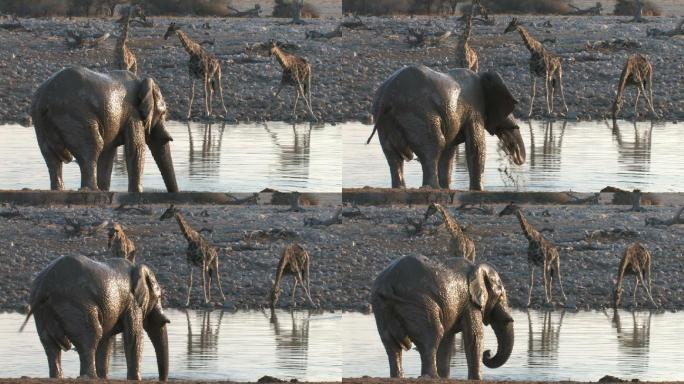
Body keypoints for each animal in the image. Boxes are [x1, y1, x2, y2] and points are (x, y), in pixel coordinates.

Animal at [22, 255, 171, 380]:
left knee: (50, 345)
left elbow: (106, 341)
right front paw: (135, 380)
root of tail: (45, 285)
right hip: (77, 303)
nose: (161, 380)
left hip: (40, 309)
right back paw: (90, 378)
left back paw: (58, 377)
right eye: (158, 296)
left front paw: (105, 377)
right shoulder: (132, 302)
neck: (137, 267)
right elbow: (134, 336)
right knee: (91, 336)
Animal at [30, 66, 179, 194]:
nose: (174, 193)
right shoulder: (133, 114)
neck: (142, 81)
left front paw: (106, 189)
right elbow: (136, 148)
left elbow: (108, 154)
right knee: (93, 147)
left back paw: (59, 190)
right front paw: (136, 192)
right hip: (75, 115)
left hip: (39, 121)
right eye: (163, 113)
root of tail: (45, 99)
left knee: (50, 157)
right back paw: (92, 190)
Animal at [368, 66, 524, 192]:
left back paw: (400, 188)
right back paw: (432, 188)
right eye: (510, 110)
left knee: (392, 154)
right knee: (434, 146)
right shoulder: (475, 108)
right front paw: (478, 190)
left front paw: (447, 188)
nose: (517, 159)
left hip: (383, 118)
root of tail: (387, 96)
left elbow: (449, 151)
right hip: (419, 113)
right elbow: (476, 145)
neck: (482, 77)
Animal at [368, 256, 512, 380]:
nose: (488, 353)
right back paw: (431, 377)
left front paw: (446, 378)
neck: (476, 267)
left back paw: (399, 377)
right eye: (500, 294)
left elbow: (447, 341)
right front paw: (476, 379)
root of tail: (387, 283)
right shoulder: (470, 302)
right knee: (433, 335)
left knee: (390, 343)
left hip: (379, 305)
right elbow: (474, 335)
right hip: (419, 302)